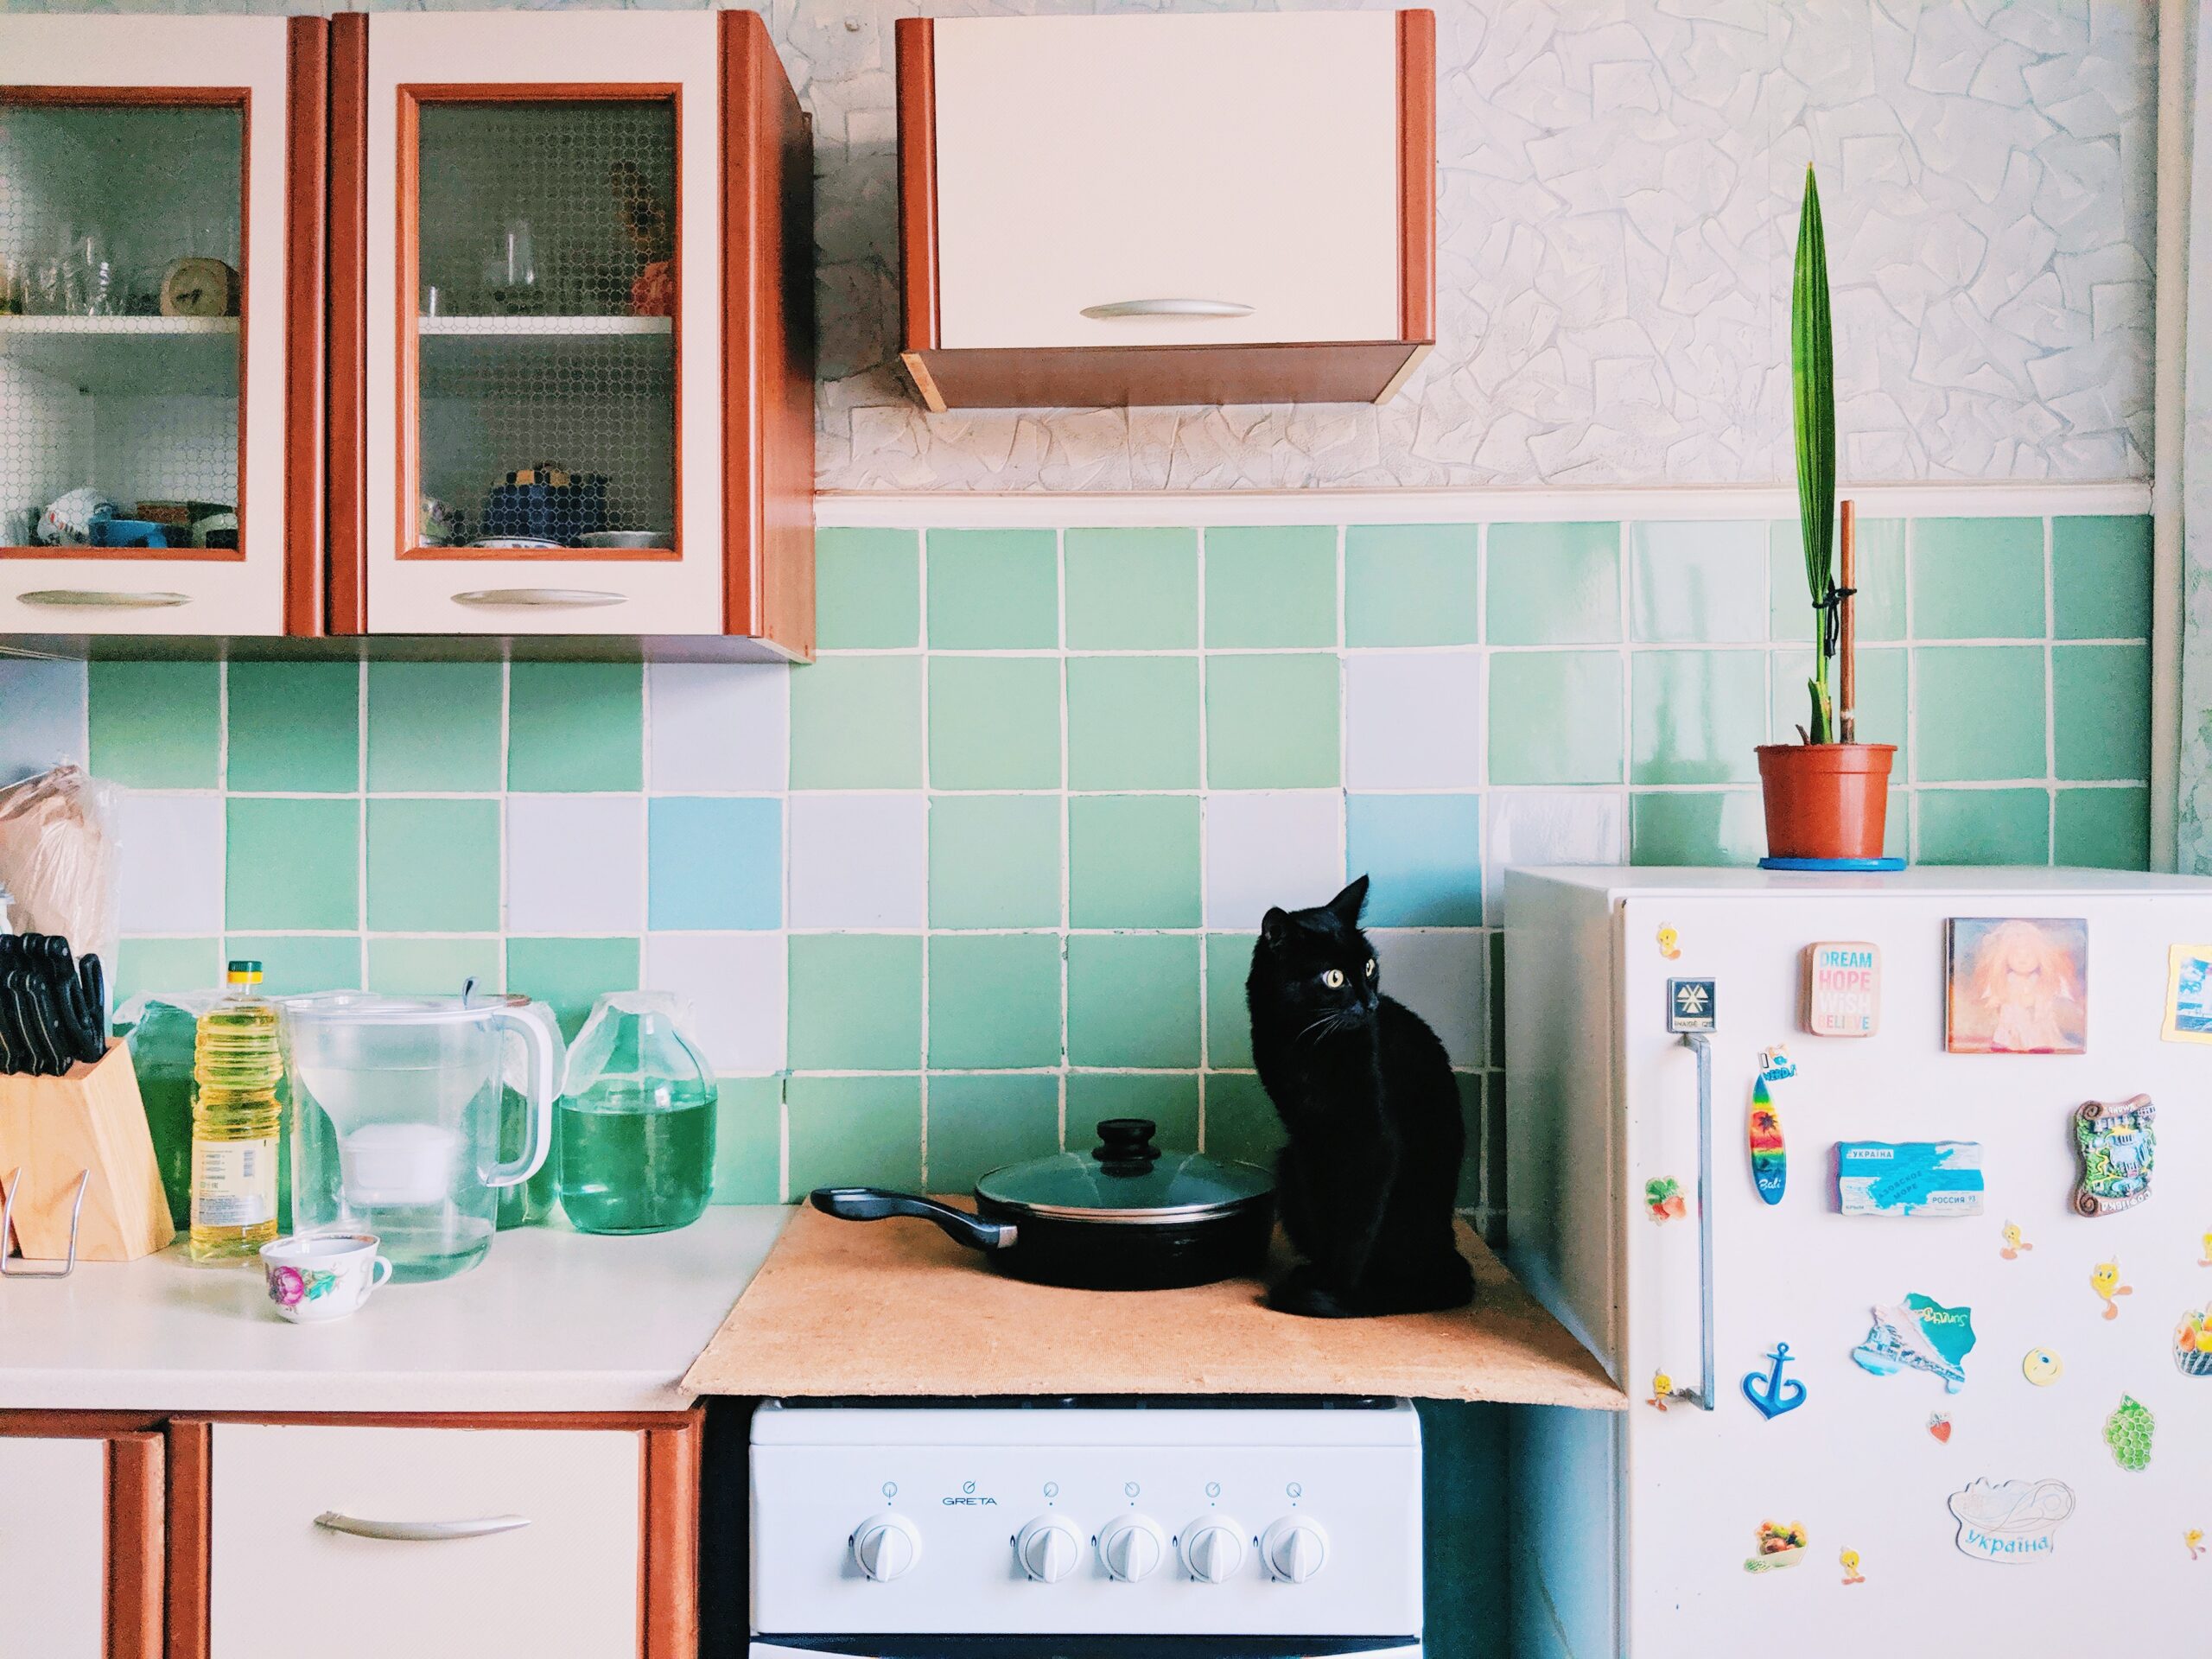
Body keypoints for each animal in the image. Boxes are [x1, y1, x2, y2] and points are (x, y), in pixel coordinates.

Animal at [1247, 875, 1468, 1318]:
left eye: (1369, 966)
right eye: (1334, 978)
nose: (1371, 1003)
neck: (1306, 1046)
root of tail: (1448, 1252)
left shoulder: (1374, 1141)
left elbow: (1355, 1226)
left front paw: (1336, 1291)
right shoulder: (1307, 1140)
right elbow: (1324, 1214)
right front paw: (1320, 1275)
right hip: (1288, 1163)